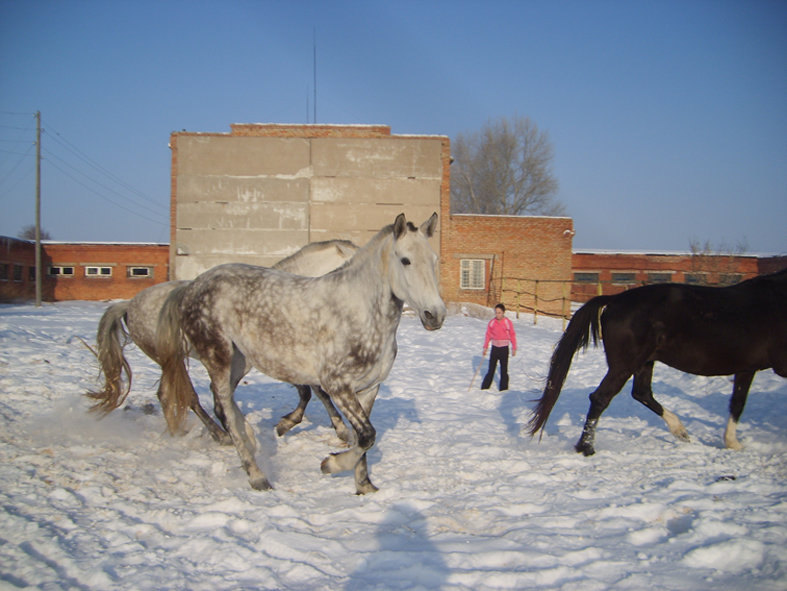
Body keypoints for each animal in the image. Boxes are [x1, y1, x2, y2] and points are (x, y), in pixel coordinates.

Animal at [86, 240, 358, 444]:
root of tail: (129, 305)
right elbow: (313, 392)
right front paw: (295, 425)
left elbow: (314, 392)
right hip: (173, 360)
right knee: (188, 397)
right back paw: (220, 435)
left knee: (166, 394)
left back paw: (183, 431)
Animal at [157, 213, 446, 494]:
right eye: (405, 260)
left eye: (434, 260)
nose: (435, 315)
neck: (359, 312)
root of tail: (192, 286)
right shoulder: (337, 386)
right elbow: (366, 435)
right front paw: (330, 464)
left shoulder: (368, 389)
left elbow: (362, 438)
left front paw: (364, 486)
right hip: (219, 359)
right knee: (225, 409)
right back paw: (256, 475)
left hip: (239, 362)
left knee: (222, 405)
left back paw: (251, 439)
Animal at [528, 266, 787, 456]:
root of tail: (616, 299)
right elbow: (739, 404)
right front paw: (735, 443)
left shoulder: (747, 368)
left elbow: (737, 403)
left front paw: (732, 442)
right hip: (625, 366)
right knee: (601, 398)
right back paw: (586, 448)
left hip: (644, 363)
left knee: (641, 393)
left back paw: (680, 431)